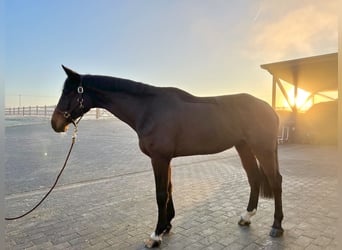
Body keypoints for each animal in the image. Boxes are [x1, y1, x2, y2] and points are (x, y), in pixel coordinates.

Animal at [50, 66, 284, 248]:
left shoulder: (159, 158)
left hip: (262, 148)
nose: (55, 123)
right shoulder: (165, 159)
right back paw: (246, 217)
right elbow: (169, 189)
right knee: (254, 178)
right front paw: (166, 225)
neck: (148, 109)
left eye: (69, 93)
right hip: (244, 147)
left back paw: (276, 226)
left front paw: (155, 236)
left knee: (275, 181)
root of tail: (269, 108)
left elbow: (161, 194)